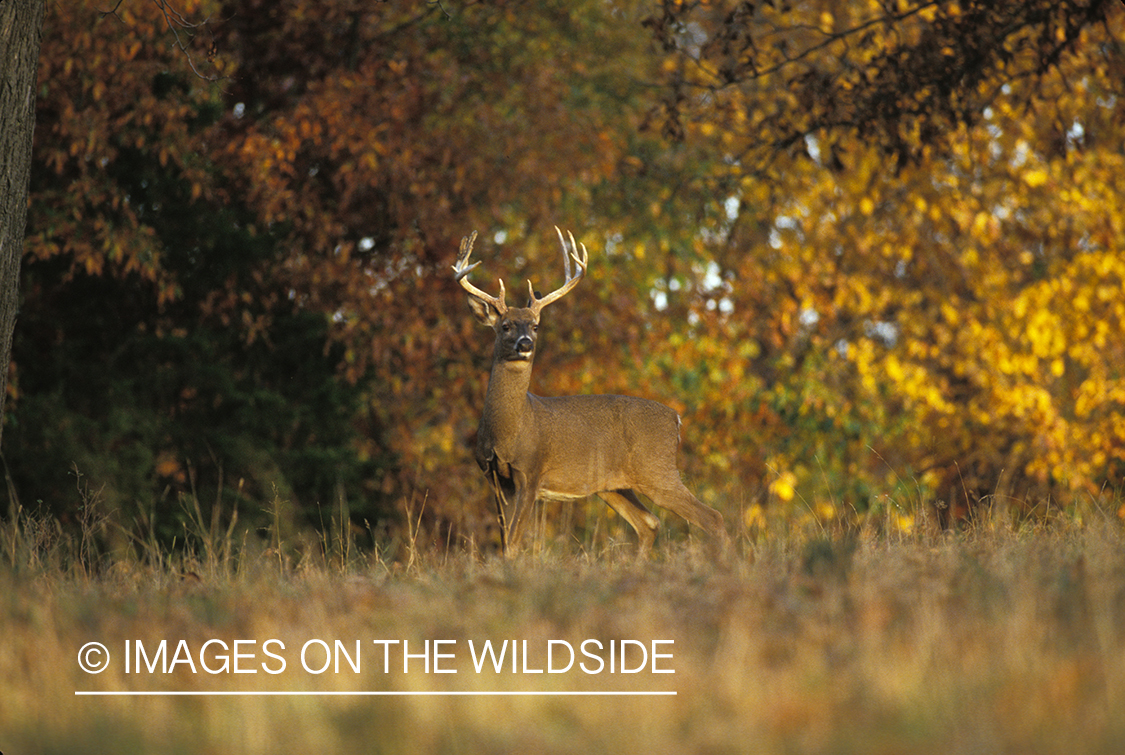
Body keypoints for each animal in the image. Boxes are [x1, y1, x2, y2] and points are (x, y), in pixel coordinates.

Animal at [453, 227, 726, 555]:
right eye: (505, 326)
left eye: (535, 326)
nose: (525, 344)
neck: (507, 431)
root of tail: (676, 418)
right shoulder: (494, 478)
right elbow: (506, 540)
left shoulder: (531, 474)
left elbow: (513, 545)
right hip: (613, 485)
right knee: (649, 523)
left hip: (657, 470)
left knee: (712, 517)